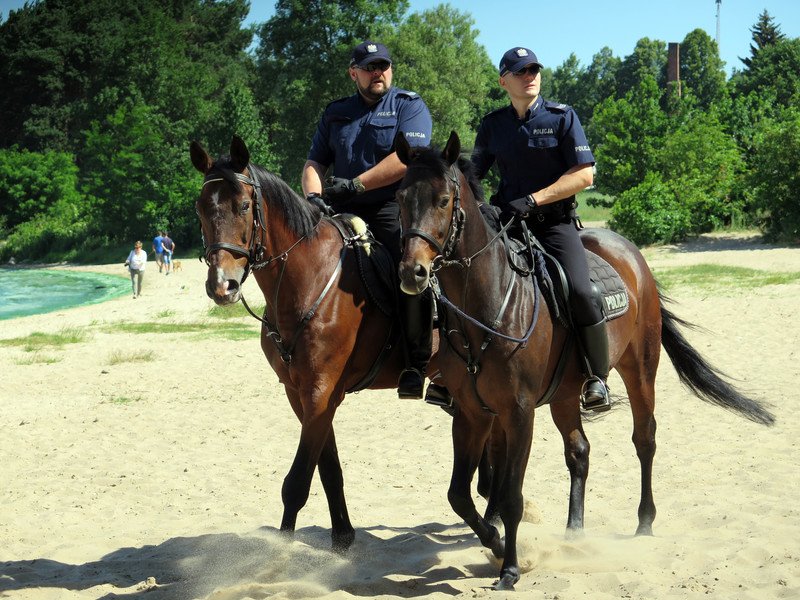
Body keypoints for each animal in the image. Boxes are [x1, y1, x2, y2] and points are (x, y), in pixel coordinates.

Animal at [188, 135, 440, 552]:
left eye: (244, 206)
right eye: (201, 208)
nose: (222, 285)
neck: (309, 280)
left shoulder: (320, 391)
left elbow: (297, 483)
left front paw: (280, 557)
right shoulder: (304, 393)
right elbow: (328, 470)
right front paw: (342, 537)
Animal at [394, 132, 776, 592]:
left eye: (444, 200)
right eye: (400, 197)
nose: (412, 272)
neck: (488, 305)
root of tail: (632, 255)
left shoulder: (519, 412)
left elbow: (510, 494)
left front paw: (511, 568)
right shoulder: (471, 413)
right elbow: (459, 495)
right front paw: (498, 544)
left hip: (639, 370)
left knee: (644, 439)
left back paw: (644, 523)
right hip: (564, 394)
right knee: (579, 450)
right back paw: (574, 531)